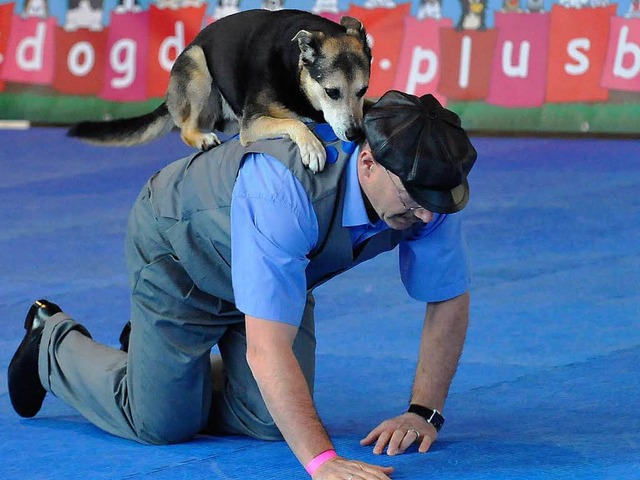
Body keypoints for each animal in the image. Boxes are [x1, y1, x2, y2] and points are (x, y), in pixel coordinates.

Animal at [67, 8, 372, 172]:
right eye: (332, 92)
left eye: (362, 90)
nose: (355, 134)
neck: (296, 73)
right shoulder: (252, 123)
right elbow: (294, 123)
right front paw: (312, 147)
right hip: (198, 65)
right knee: (186, 128)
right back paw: (202, 139)